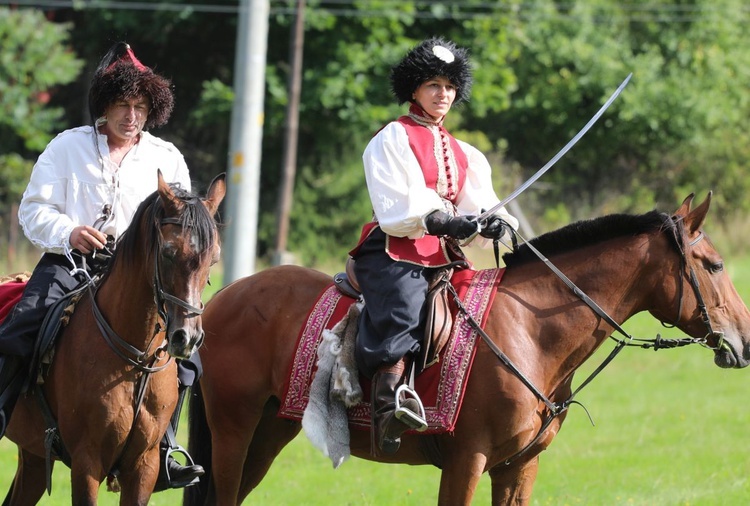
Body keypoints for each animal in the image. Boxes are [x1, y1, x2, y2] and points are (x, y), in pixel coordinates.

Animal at [3, 172, 226, 504]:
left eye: (213, 259)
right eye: (168, 252)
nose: (186, 337)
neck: (134, 357)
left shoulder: (144, 467)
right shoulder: (86, 464)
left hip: (33, 457)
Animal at [185, 192, 750, 504]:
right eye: (715, 265)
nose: (743, 340)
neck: (529, 329)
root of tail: (220, 299)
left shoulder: (518, 468)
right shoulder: (466, 462)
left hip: (266, 434)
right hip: (233, 432)